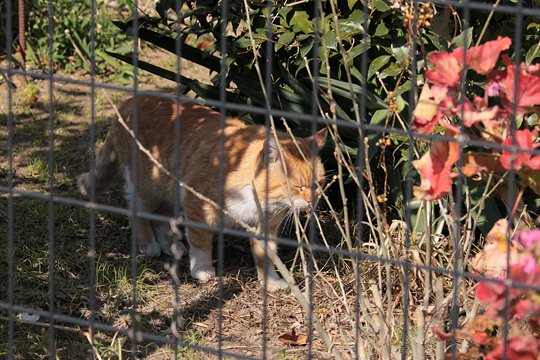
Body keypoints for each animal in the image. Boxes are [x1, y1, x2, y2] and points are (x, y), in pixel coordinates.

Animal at [78, 95, 326, 290]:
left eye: (317, 184)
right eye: (298, 187)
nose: (313, 201)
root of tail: (130, 100)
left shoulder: (266, 226)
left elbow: (266, 256)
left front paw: (270, 281)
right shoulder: (198, 207)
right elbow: (201, 242)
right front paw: (202, 269)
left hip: (170, 191)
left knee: (161, 218)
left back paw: (172, 245)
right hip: (149, 187)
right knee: (139, 212)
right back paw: (149, 244)